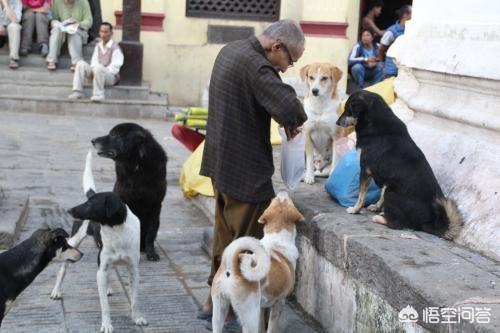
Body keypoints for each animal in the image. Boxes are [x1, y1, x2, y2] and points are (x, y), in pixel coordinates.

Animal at [56, 152, 148, 332]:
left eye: (91, 204)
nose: (70, 210)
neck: (116, 231)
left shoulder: (133, 270)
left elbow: (135, 300)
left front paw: (137, 318)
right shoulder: (102, 266)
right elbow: (105, 306)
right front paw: (106, 325)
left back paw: (108, 287)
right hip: (74, 242)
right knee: (63, 269)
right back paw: (56, 291)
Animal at [91, 123, 167, 260]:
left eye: (114, 135)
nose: (92, 140)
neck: (136, 164)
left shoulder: (155, 206)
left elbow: (151, 233)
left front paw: (151, 253)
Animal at [211, 191, 304, 332]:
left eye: (275, 201)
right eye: (286, 201)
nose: (282, 191)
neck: (277, 238)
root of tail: (233, 266)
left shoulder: (261, 307)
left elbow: (262, 327)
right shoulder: (278, 303)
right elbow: (271, 328)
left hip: (219, 310)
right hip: (249, 316)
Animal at [338, 88, 462, 239]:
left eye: (347, 109)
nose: (337, 122)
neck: (374, 118)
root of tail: (428, 222)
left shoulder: (365, 169)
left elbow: (361, 195)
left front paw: (355, 209)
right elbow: (379, 197)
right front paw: (376, 207)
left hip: (391, 190)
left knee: (399, 224)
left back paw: (381, 218)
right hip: (389, 187)